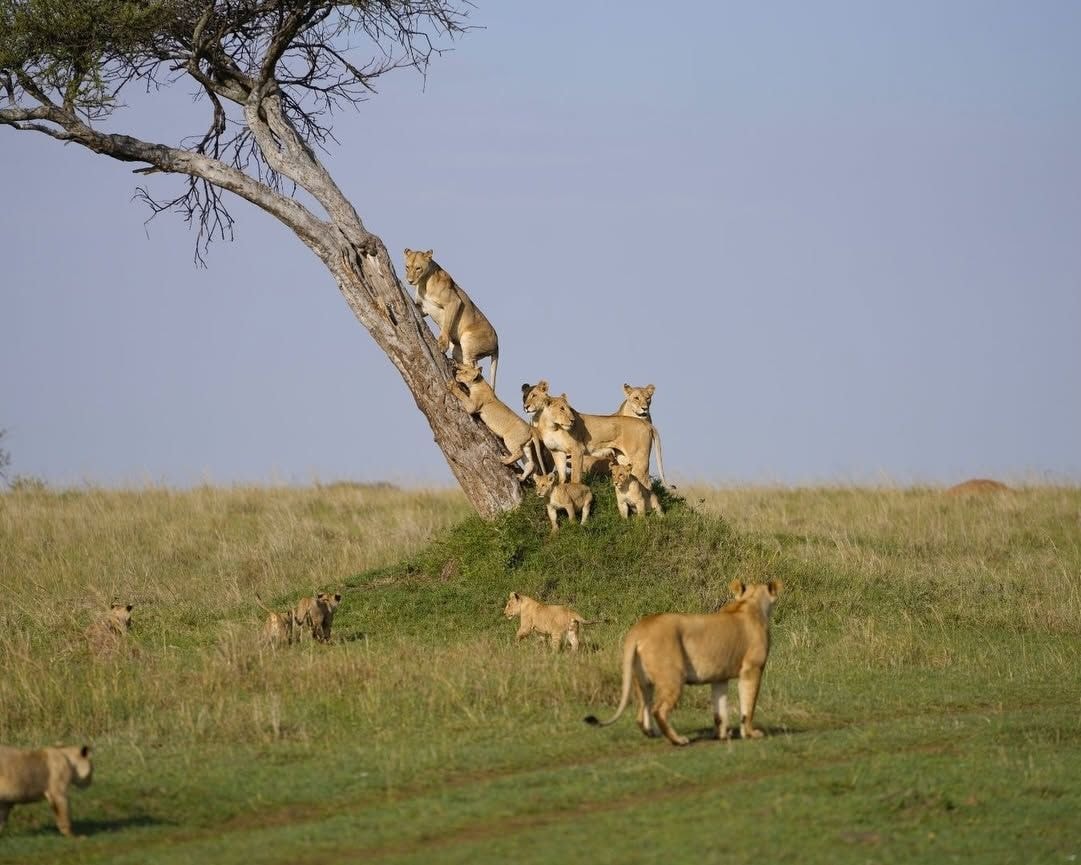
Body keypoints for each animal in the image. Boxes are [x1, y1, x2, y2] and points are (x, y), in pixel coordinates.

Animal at [403, 248, 499, 388]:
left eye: (418, 268)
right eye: (407, 267)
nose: (410, 281)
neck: (423, 283)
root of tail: (498, 344)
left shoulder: (454, 302)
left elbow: (446, 325)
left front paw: (442, 345)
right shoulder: (423, 308)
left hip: (468, 340)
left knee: (474, 367)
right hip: (457, 351)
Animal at [522, 381, 665, 486]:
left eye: (569, 409)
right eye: (562, 409)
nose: (572, 420)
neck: (551, 427)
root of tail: (646, 423)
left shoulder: (577, 450)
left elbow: (575, 477)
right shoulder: (557, 452)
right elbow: (562, 477)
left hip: (639, 459)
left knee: (647, 483)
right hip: (624, 458)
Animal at [585, 579, 782, 746]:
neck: (750, 602)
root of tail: (639, 629)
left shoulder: (719, 678)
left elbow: (720, 709)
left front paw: (721, 736)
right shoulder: (752, 669)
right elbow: (749, 705)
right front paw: (750, 733)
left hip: (641, 680)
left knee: (643, 709)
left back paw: (652, 733)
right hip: (673, 676)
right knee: (659, 710)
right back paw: (678, 740)